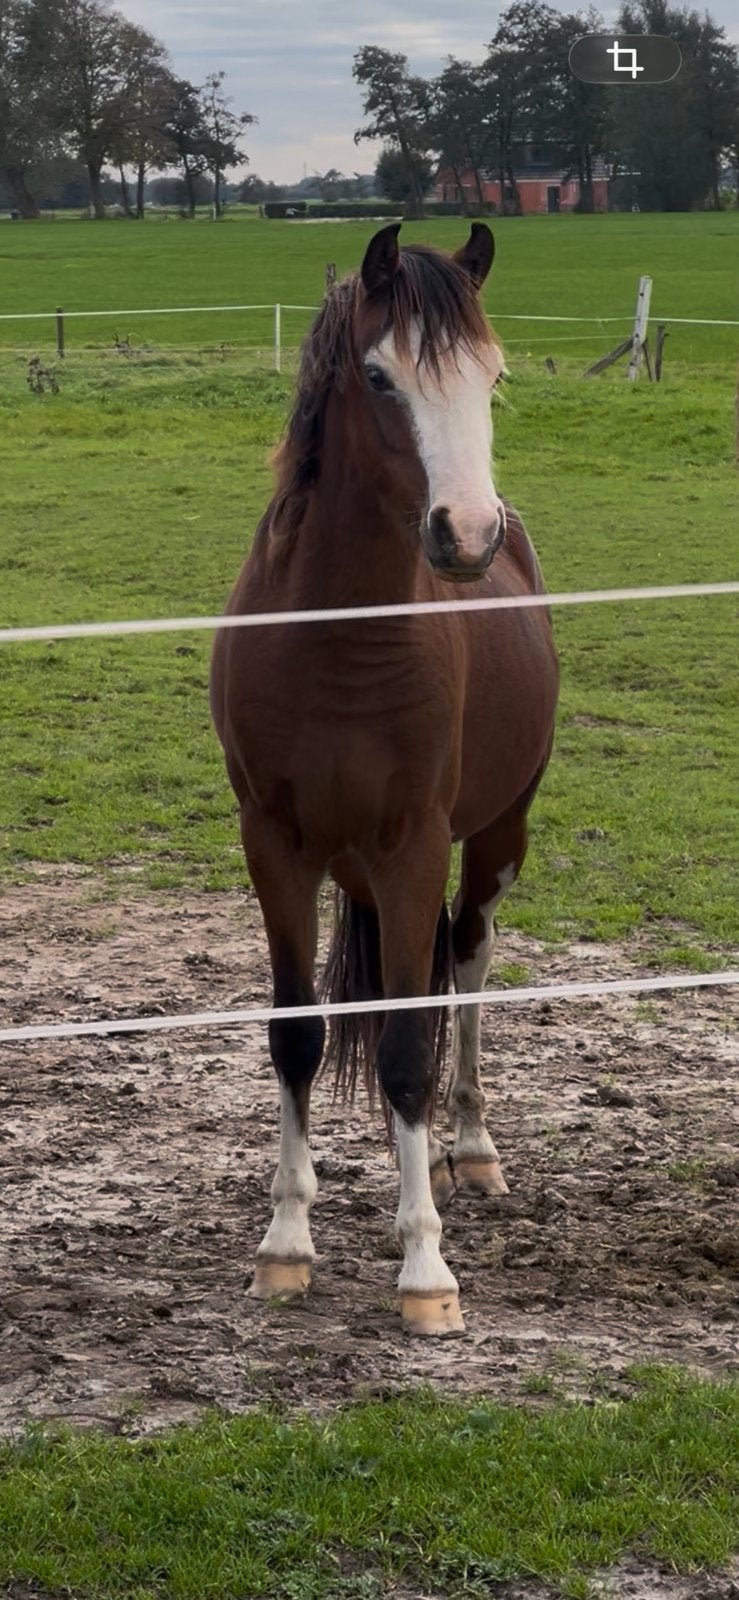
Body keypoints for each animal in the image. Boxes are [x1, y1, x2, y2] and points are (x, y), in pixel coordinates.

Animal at [210, 223, 559, 1337]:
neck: (337, 635)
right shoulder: (274, 845)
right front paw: (285, 1243)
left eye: (492, 375)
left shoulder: (414, 846)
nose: (467, 533)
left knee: (467, 968)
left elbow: (408, 1045)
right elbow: (296, 1035)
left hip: (492, 839)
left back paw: (471, 1151)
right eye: (378, 377)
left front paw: (424, 1270)